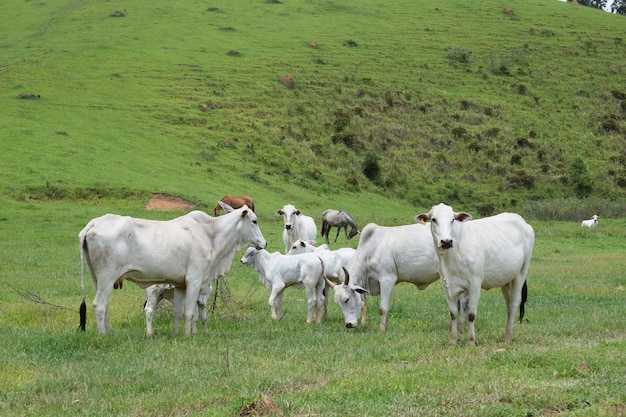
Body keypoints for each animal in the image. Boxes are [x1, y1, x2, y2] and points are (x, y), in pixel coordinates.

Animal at [79, 202, 264, 334]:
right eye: (254, 221)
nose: (264, 243)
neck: (210, 233)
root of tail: (94, 223)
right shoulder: (194, 280)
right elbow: (190, 312)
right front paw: (189, 336)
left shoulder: (180, 285)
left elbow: (178, 312)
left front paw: (176, 333)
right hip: (107, 276)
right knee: (99, 305)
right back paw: (103, 335)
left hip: (97, 278)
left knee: (105, 306)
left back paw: (108, 332)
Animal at [414, 204, 532, 344]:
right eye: (433, 219)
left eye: (452, 219)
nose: (446, 241)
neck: (451, 257)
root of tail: (521, 220)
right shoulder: (446, 284)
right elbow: (453, 313)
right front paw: (453, 340)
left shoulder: (475, 283)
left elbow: (471, 314)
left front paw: (471, 341)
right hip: (506, 279)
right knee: (508, 304)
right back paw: (505, 335)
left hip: (521, 272)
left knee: (514, 303)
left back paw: (508, 337)